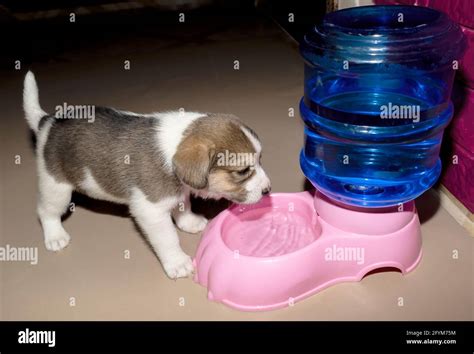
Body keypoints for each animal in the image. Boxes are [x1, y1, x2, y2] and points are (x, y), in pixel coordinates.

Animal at [23, 70, 270, 278]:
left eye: (259, 159)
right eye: (242, 171)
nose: (268, 190)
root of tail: (49, 122)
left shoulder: (179, 192)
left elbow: (183, 206)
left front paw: (189, 222)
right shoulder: (151, 211)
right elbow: (168, 239)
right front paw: (177, 263)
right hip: (56, 187)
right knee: (46, 211)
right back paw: (55, 236)